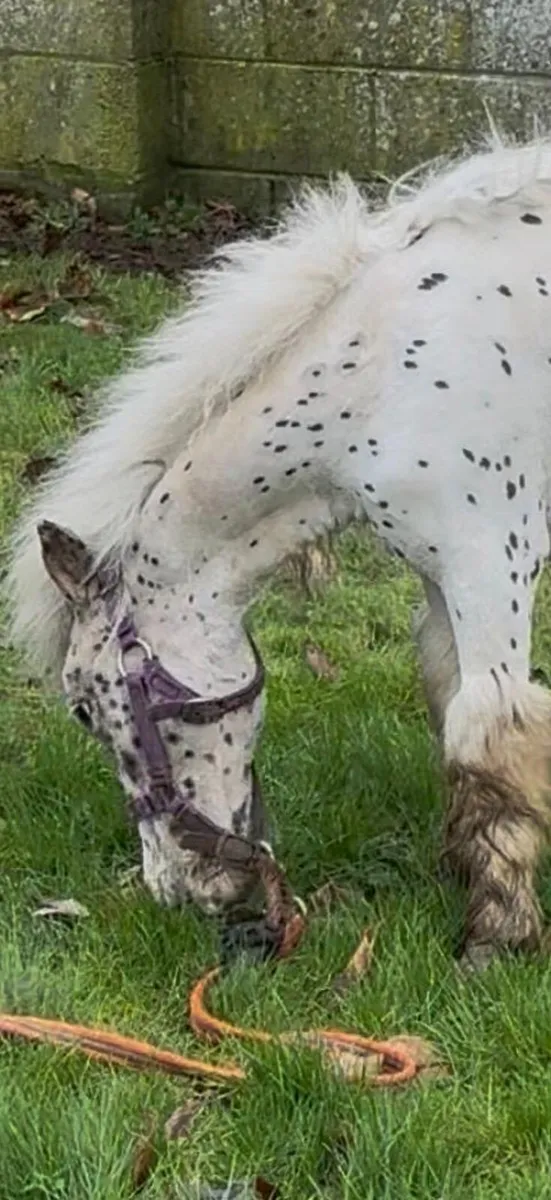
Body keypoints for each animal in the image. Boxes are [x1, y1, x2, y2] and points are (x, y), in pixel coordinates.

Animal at [7, 133, 551, 972]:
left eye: (85, 710)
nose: (180, 891)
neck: (384, 377)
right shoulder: (437, 576)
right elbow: (444, 695)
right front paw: (464, 870)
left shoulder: (488, 562)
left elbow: (486, 730)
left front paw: (496, 934)